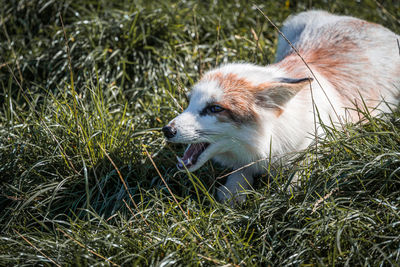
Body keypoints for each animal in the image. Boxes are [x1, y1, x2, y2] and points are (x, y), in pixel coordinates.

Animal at [162, 9, 400, 204]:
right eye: (189, 102)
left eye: (214, 108)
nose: (167, 130)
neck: (270, 138)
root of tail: (363, 21)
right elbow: (240, 173)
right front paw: (234, 191)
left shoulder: (326, 141)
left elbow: (300, 172)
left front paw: (287, 191)